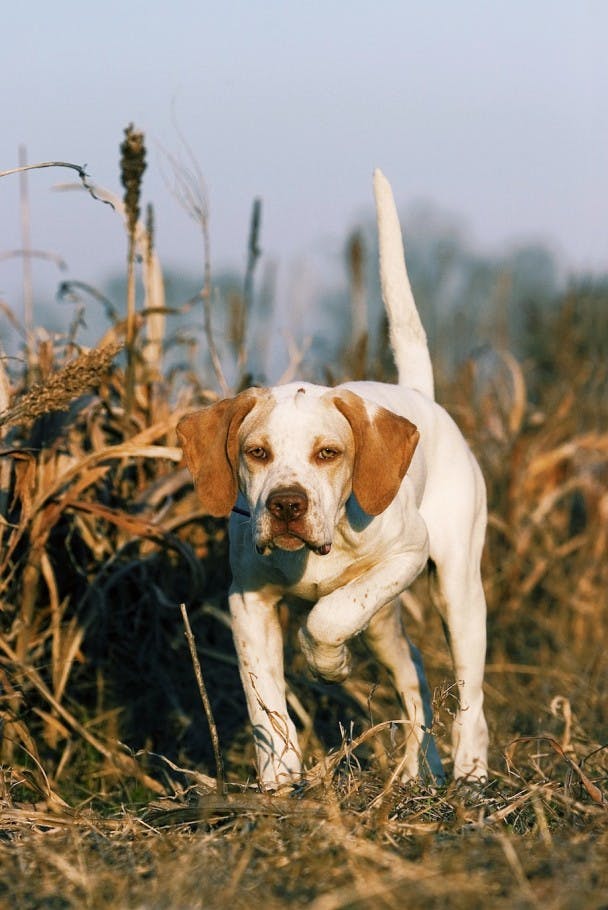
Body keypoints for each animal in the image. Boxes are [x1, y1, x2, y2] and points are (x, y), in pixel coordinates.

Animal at [177, 171, 490, 792]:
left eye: (329, 453)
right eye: (256, 453)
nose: (286, 506)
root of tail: (421, 399)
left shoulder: (404, 555)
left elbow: (329, 615)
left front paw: (330, 663)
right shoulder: (248, 603)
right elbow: (264, 704)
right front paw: (278, 780)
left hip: (457, 589)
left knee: (469, 691)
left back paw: (471, 771)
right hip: (388, 623)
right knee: (415, 671)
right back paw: (421, 770)